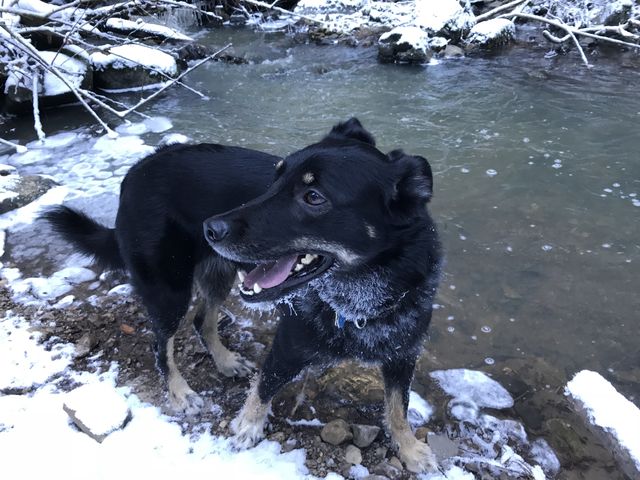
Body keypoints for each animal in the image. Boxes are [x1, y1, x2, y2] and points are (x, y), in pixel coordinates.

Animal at [45, 120, 442, 472]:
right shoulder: (288, 346)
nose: (211, 227)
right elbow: (264, 388)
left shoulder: (402, 356)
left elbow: (398, 408)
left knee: (202, 320)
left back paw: (224, 361)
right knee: (162, 345)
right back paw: (179, 392)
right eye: (275, 177)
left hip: (218, 275)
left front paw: (410, 449)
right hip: (169, 288)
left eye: (313, 197)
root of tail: (136, 170)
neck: (361, 299)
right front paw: (247, 428)